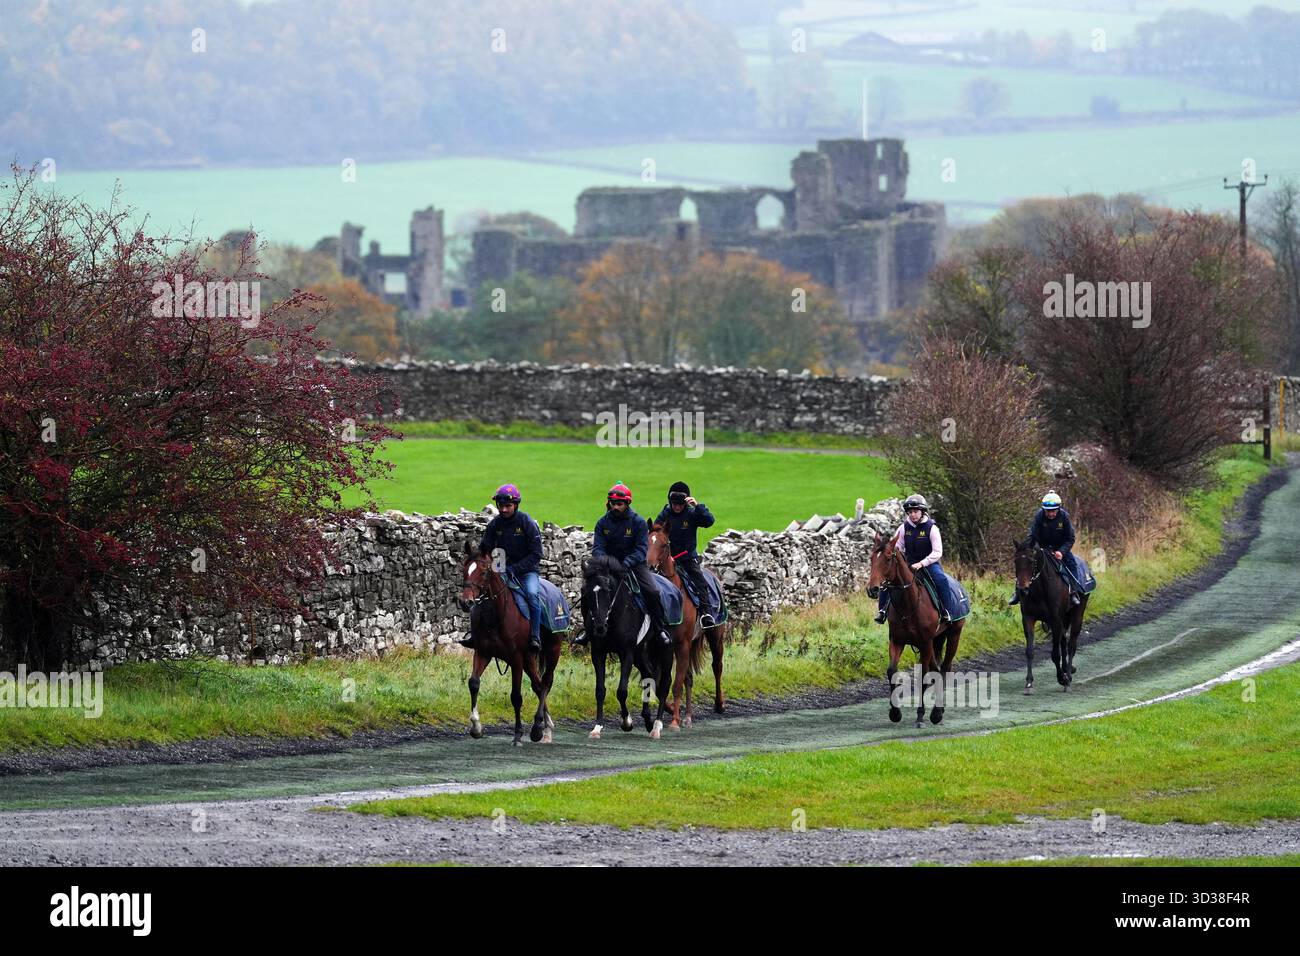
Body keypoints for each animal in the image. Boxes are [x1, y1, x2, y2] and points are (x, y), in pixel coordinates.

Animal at [457, 541, 561, 746]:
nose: (466, 602)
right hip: (530, 659)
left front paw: (518, 735)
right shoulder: (483, 652)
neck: (496, 615)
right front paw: (476, 727)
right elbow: (473, 683)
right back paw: (546, 727)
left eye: (484, 572)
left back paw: (538, 728)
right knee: (538, 686)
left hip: (552, 651)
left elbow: (516, 696)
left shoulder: (516, 658)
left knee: (545, 682)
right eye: (465, 569)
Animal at [579, 555, 673, 740]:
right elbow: (600, 690)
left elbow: (622, 690)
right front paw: (597, 727)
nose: (599, 627)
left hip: (665, 650)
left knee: (665, 683)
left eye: (608, 590)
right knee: (648, 675)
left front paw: (627, 722)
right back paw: (648, 720)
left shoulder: (626, 652)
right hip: (641, 652)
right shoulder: (598, 652)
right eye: (586, 592)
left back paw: (657, 726)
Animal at [647, 521, 726, 728]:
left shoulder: (682, 643)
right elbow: (660, 683)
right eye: (647, 542)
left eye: (664, 544)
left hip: (715, 636)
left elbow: (676, 684)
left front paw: (674, 721)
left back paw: (719, 704)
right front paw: (672, 711)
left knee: (717, 666)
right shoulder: (662, 646)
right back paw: (688, 716)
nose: (649, 566)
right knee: (688, 678)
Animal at [866, 531, 966, 726]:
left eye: (888, 558)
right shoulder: (897, 641)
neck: (908, 604)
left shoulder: (925, 642)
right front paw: (895, 713)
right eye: (872, 558)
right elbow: (892, 672)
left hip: (954, 635)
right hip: (934, 641)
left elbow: (924, 676)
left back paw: (937, 712)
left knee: (944, 668)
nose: (872, 589)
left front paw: (920, 715)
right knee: (937, 670)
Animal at [1012, 539, 1087, 692]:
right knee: (1064, 641)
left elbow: (1055, 654)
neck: (1040, 589)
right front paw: (1029, 682)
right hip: (1064, 618)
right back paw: (1067, 670)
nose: (1022, 589)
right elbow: (1030, 651)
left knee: (1071, 645)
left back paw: (1068, 677)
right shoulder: (1028, 618)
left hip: (1077, 614)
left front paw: (1062, 679)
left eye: (1031, 561)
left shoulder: (1055, 620)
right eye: (1015, 561)